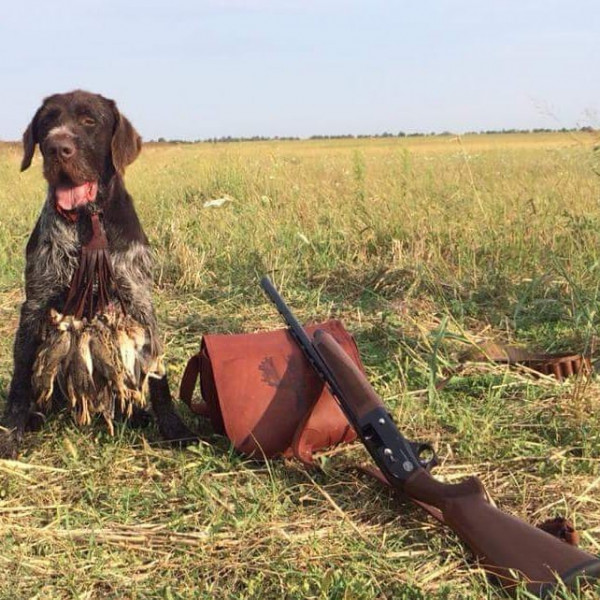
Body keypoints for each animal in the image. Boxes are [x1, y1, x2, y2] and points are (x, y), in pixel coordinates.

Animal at [0, 90, 196, 457]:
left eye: (90, 120)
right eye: (47, 121)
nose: (57, 147)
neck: (86, 219)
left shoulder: (139, 300)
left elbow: (158, 377)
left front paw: (175, 429)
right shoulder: (35, 302)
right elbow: (20, 378)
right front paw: (10, 434)